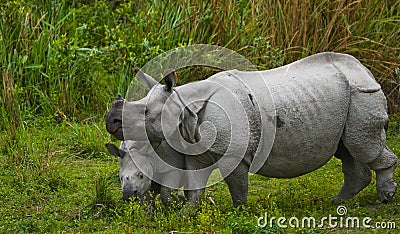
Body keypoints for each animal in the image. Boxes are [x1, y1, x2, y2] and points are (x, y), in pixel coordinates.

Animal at [105, 52, 396, 207]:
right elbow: (195, 184)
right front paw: (187, 213)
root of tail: (365, 71)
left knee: (362, 146)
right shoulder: (193, 147)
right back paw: (338, 202)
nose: (110, 120)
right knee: (348, 149)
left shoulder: (235, 153)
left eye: (145, 113)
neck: (184, 108)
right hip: (349, 97)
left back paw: (385, 198)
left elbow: (237, 184)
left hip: (363, 93)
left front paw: (239, 211)